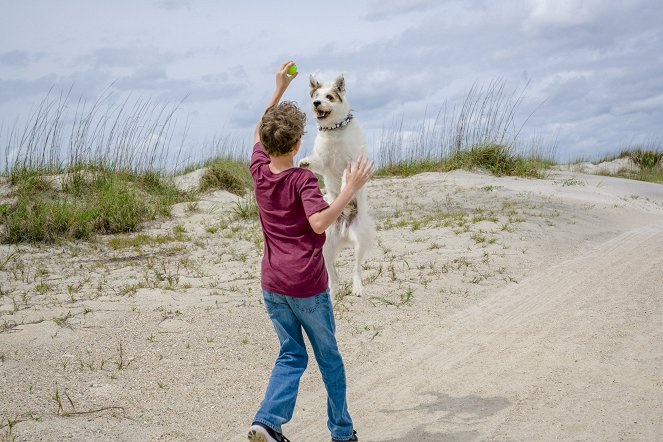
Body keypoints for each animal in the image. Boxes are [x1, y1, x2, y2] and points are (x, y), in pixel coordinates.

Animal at [298, 74, 376, 298]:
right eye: (315, 96)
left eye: (329, 97)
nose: (316, 103)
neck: (334, 131)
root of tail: (344, 233)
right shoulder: (323, 162)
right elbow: (316, 162)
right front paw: (304, 162)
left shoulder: (353, 161)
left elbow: (345, 176)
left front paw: (344, 186)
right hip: (326, 247)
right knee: (333, 273)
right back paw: (333, 291)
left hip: (360, 240)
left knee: (356, 268)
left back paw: (357, 288)